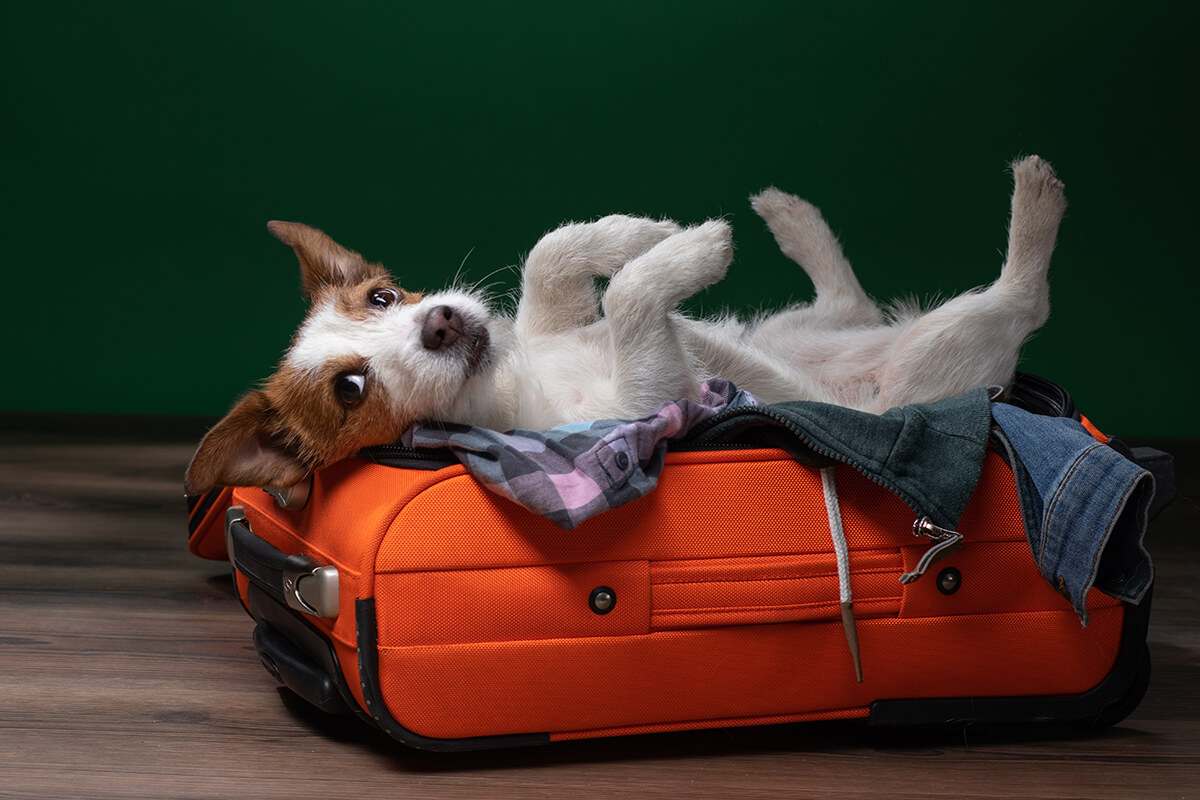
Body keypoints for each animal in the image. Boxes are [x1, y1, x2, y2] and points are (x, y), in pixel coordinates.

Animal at [182, 153, 1065, 496]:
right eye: (351, 391)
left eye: (382, 297)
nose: (439, 323)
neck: (515, 377)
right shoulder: (651, 397)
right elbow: (628, 300)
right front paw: (691, 248)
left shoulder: (551, 314)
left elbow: (553, 257)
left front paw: (642, 230)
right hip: (937, 360)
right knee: (1025, 300)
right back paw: (1037, 198)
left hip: (799, 330)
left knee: (849, 302)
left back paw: (791, 216)